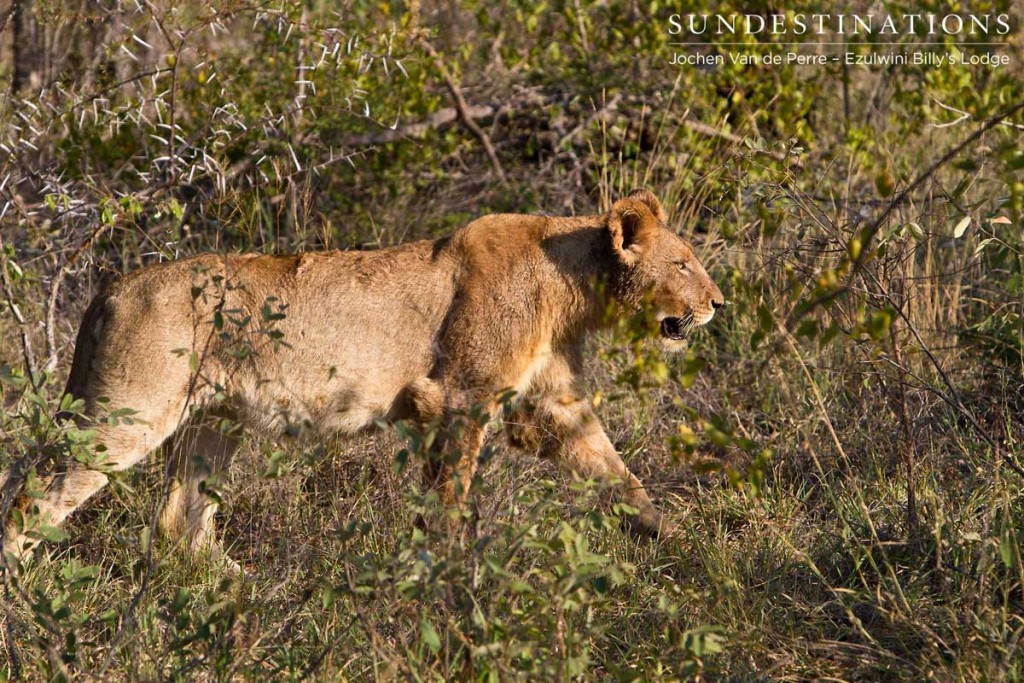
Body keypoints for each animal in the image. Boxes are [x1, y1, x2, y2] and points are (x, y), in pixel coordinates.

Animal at [0, 189, 724, 569]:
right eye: (684, 264)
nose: (719, 303)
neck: (570, 282)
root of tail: (110, 288)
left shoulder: (551, 406)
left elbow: (617, 472)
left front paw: (681, 544)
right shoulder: (458, 398)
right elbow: (451, 497)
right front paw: (448, 573)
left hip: (210, 424)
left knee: (179, 523)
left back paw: (243, 587)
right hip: (126, 412)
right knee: (34, 495)